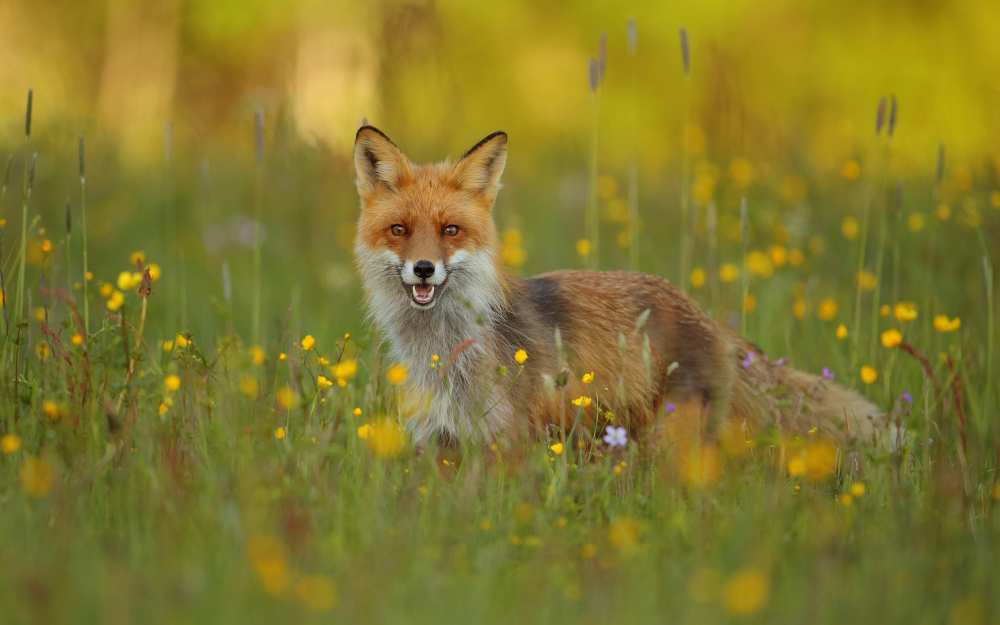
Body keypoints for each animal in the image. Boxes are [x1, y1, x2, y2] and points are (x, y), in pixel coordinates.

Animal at [354, 125, 884, 448]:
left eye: (450, 230)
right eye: (400, 230)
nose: (424, 269)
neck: (448, 353)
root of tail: (705, 316)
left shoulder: (508, 441)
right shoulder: (443, 442)